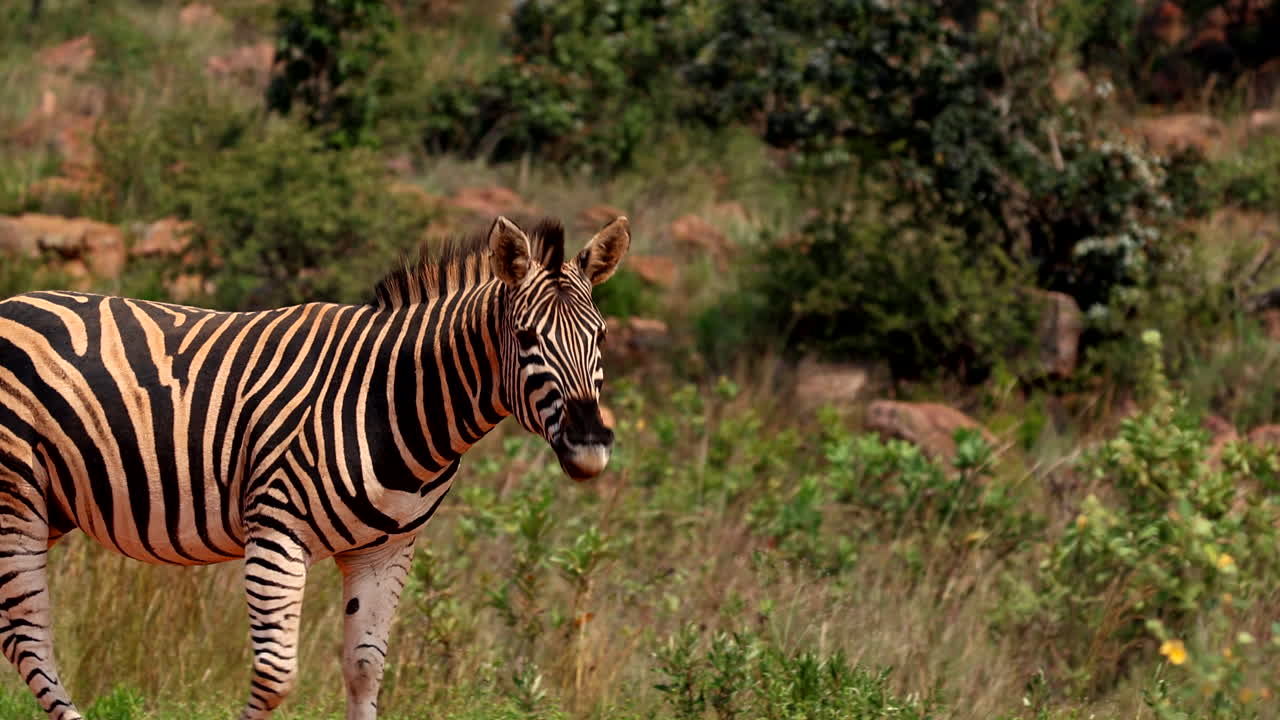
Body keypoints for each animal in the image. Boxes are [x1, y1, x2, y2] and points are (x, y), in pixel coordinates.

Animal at [0, 215, 629, 720]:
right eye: (525, 337)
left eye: (600, 337)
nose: (590, 445)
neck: (391, 398)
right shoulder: (276, 532)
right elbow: (276, 676)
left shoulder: (386, 551)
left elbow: (364, 669)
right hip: (17, 497)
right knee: (29, 639)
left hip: (48, 505)